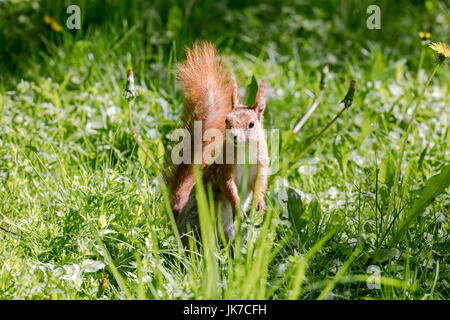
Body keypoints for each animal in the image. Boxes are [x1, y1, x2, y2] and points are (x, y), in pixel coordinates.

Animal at [167, 42, 268, 242]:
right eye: (226, 121)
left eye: (251, 124)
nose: (234, 136)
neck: (244, 149)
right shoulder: (225, 167)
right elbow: (227, 184)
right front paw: (237, 205)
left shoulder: (262, 162)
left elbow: (260, 182)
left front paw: (259, 201)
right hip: (196, 222)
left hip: (234, 232)